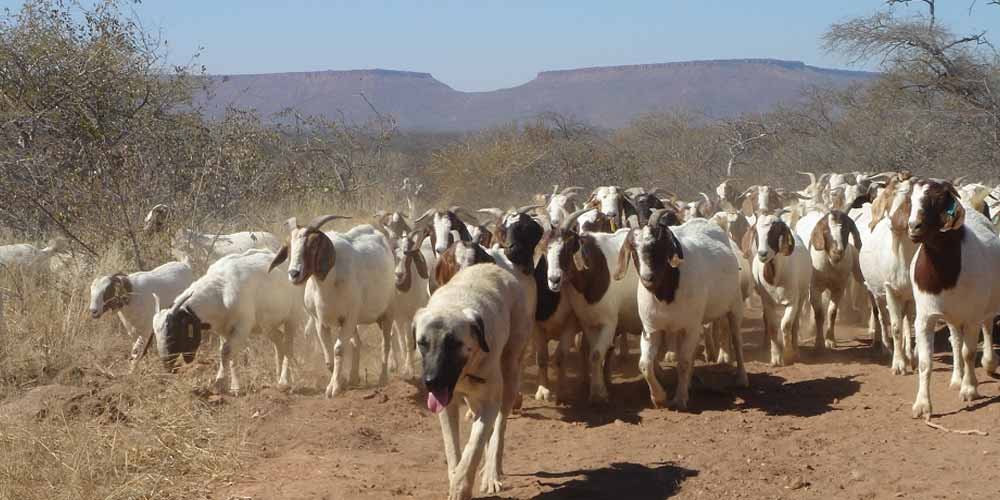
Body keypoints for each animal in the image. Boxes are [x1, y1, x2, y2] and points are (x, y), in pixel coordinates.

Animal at [416, 264, 536, 498]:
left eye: (453, 344)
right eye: (422, 343)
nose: (431, 381)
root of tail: (497, 267)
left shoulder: (490, 402)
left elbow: (474, 448)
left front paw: (460, 487)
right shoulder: (447, 407)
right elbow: (453, 450)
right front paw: (455, 476)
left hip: (510, 374)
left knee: (498, 428)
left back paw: (492, 472)